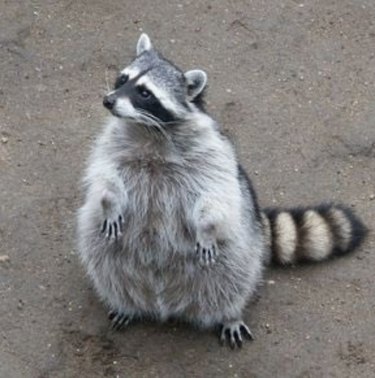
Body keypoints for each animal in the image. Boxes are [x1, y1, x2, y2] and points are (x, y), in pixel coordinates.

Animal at [76, 34, 368, 346]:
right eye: (123, 78)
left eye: (145, 93)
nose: (108, 100)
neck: (148, 130)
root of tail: (163, 301)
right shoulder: (111, 145)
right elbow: (103, 177)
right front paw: (110, 202)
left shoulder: (212, 153)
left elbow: (214, 196)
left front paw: (206, 228)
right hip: (107, 249)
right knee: (107, 265)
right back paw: (125, 302)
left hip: (240, 246)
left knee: (233, 278)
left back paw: (230, 313)